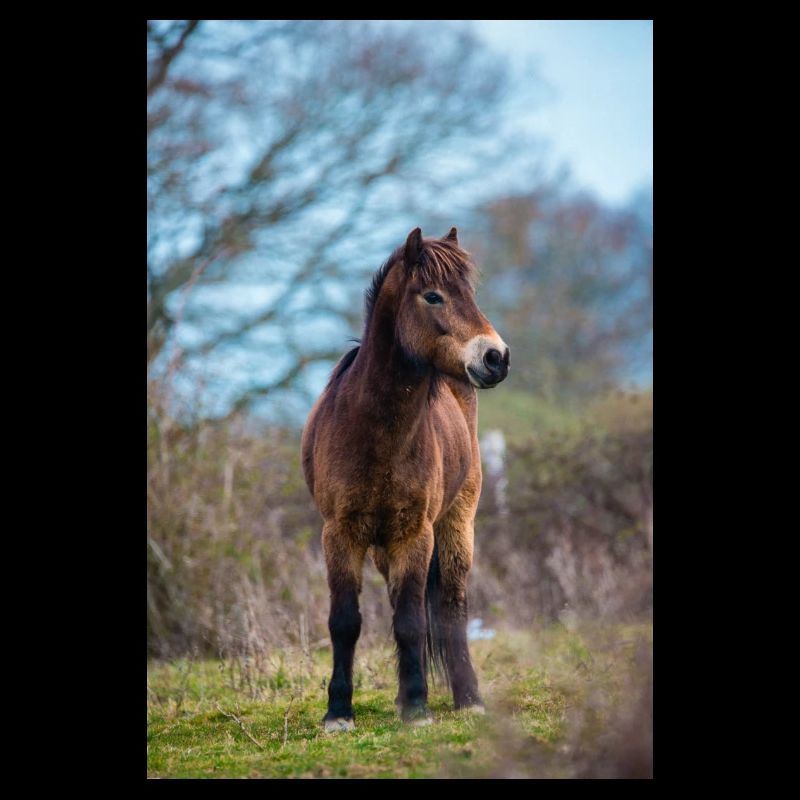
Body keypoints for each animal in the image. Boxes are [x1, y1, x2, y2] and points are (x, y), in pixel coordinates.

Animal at [301, 226, 509, 730]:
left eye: (470, 293)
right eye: (433, 296)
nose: (496, 357)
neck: (373, 429)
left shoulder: (416, 534)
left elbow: (413, 621)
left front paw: (417, 707)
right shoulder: (340, 534)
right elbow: (345, 621)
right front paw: (339, 712)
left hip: (455, 526)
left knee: (451, 606)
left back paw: (467, 697)